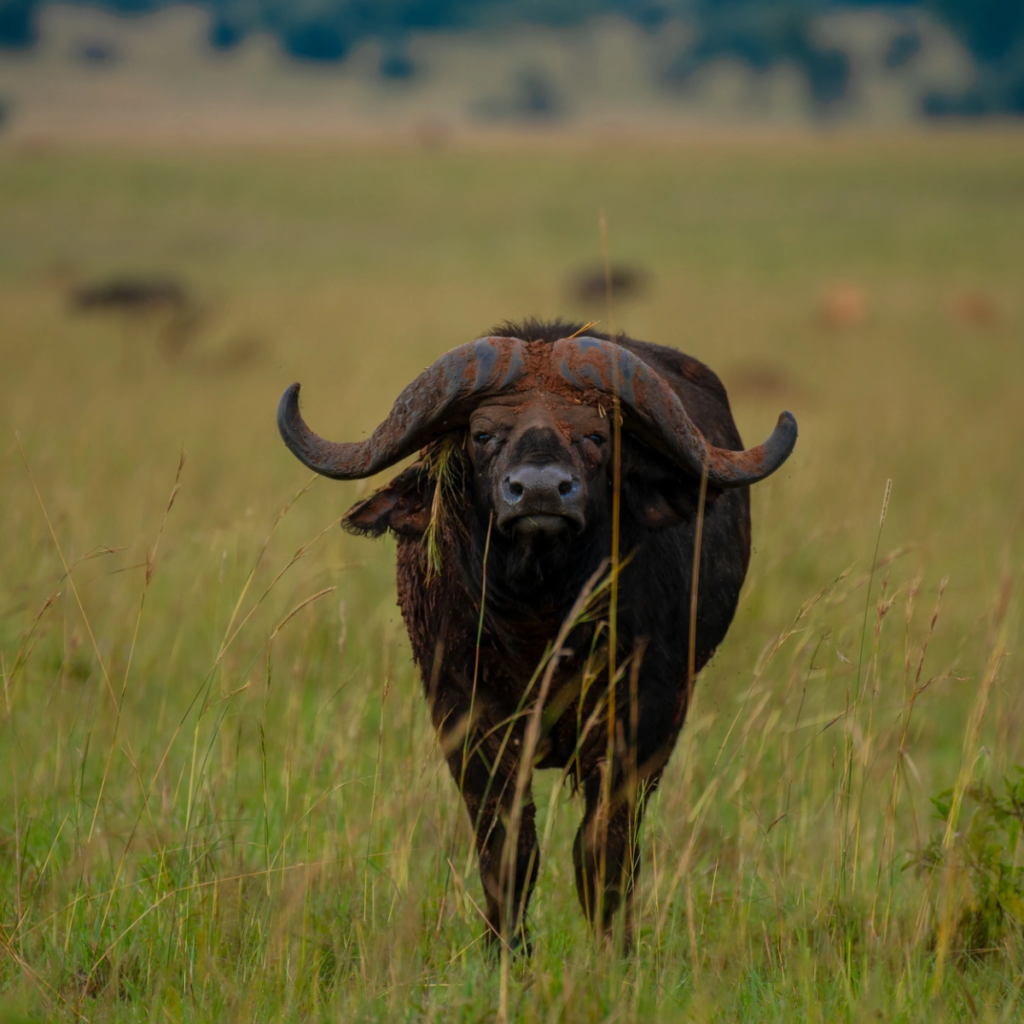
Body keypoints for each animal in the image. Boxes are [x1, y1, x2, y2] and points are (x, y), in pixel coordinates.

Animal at [277, 319, 797, 953]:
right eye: (483, 435)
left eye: (596, 436)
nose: (542, 491)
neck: (541, 623)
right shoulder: (464, 717)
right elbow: (508, 850)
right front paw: (506, 953)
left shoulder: (645, 717)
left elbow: (604, 851)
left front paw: (613, 954)